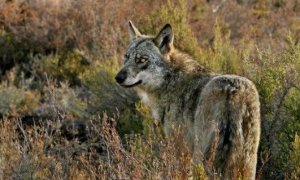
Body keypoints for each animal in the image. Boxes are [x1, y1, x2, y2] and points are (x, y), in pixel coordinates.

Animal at [115, 20, 260, 179]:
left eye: (141, 60)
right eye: (126, 57)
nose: (118, 77)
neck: (171, 81)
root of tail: (233, 91)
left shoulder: (181, 150)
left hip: (201, 157)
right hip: (246, 163)